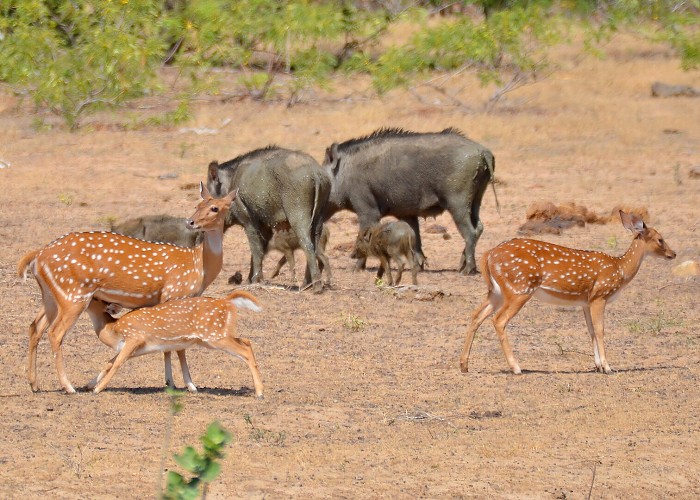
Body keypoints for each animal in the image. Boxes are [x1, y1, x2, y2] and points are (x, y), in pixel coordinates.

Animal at [17, 182, 237, 392]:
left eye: (215, 207)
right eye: (197, 205)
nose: (190, 222)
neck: (197, 266)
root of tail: (38, 255)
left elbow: (168, 345)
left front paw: (171, 383)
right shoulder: (174, 295)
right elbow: (178, 346)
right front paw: (190, 385)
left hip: (51, 297)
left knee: (34, 327)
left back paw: (34, 384)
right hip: (74, 295)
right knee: (55, 333)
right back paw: (69, 387)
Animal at [84, 292, 266, 396]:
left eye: (95, 298)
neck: (113, 329)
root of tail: (227, 302)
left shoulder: (134, 338)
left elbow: (117, 364)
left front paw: (98, 389)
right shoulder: (130, 348)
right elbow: (108, 363)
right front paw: (88, 385)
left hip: (214, 336)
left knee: (245, 351)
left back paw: (259, 393)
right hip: (216, 335)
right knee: (247, 341)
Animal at [456, 211, 676, 376]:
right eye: (660, 239)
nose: (673, 254)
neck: (620, 270)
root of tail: (488, 255)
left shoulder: (586, 301)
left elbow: (590, 331)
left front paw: (597, 365)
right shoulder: (600, 295)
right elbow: (600, 330)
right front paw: (607, 367)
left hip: (496, 292)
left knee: (476, 315)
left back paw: (464, 365)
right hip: (519, 289)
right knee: (498, 320)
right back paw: (516, 367)